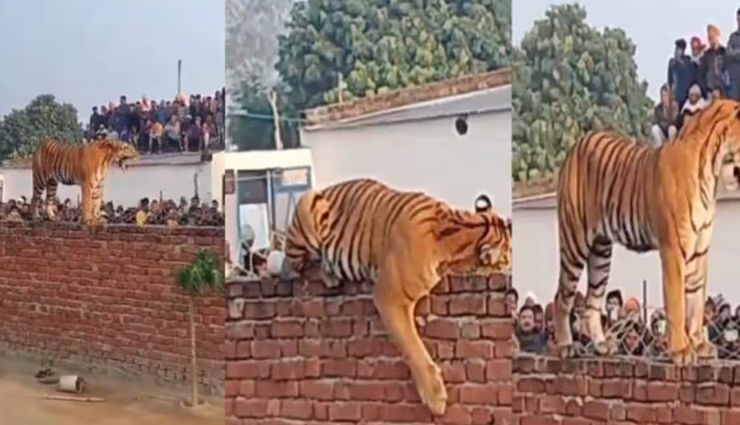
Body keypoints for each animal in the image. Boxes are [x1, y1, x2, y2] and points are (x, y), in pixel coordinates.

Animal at [281, 178, 512, 416]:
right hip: (307, 206)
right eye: (509, 255)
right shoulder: (390, 296)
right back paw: (328, 274)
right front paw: (436, 398)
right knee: (299, 265)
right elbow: (412, 345)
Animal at [554, 99, 740, 367]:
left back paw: (601, 345)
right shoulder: (673, 248)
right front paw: (681, 350)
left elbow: (696, 301)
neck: (711, 174)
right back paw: (565, 346)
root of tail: (578, 143)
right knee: (563, 296)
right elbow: (676, 304)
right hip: (574, 241)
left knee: (592, 300)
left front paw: (699, 345)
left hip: (601, 252)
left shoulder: (699, 250)